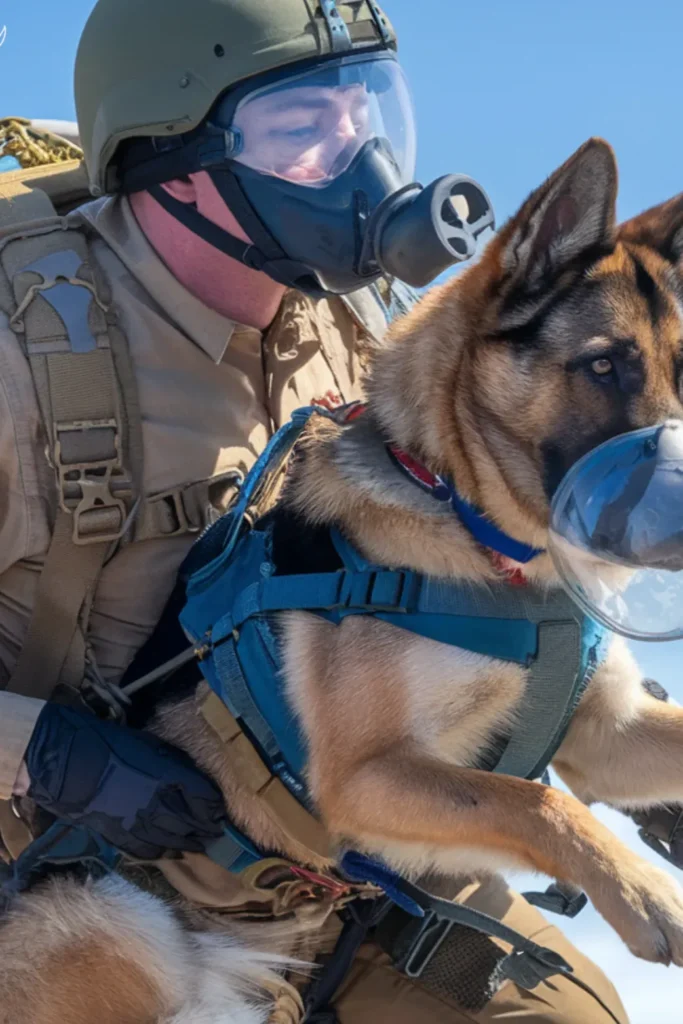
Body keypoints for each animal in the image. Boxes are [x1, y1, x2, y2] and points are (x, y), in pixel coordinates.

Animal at [1, 138, 683, 1024]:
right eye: (602, 365)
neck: (467, 520)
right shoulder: (364, 777)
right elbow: (530, 800)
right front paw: (646, 894)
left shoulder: (606, 738)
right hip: (119, 919)